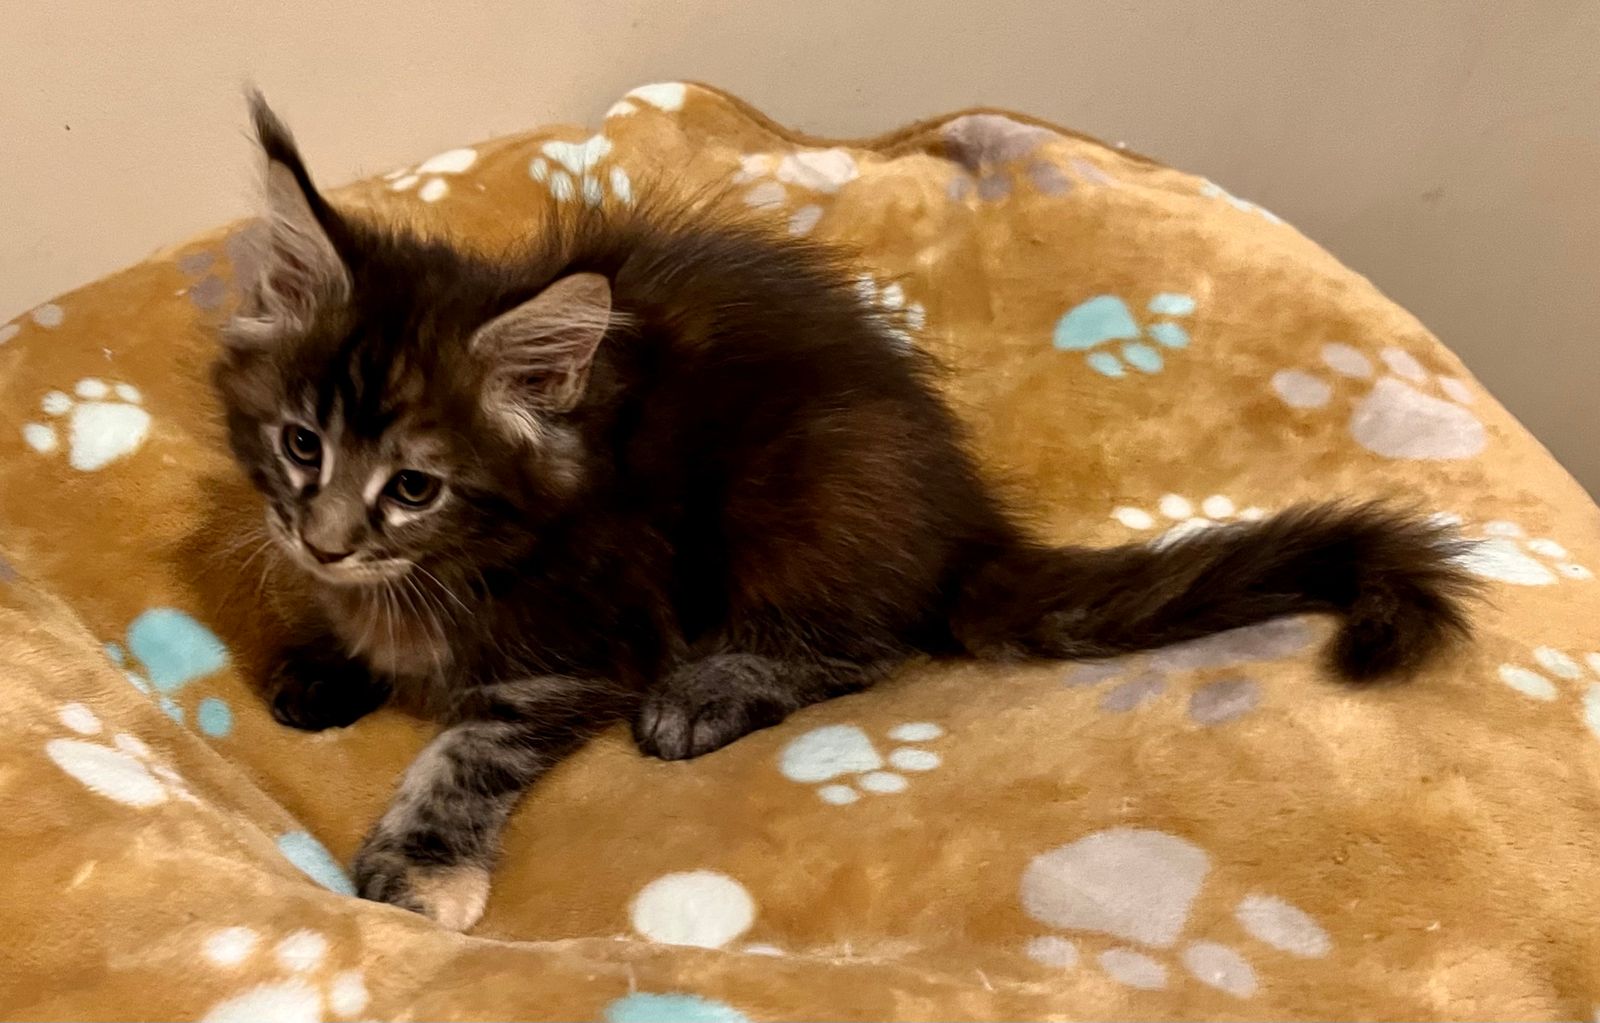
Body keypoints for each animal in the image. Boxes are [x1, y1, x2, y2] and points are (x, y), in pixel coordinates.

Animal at [212, 93, 1475, 931]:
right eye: (300, 445)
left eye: (413, 487)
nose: (321, 540)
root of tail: (958, 517)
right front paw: (329, 654)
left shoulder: (581, 641)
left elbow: (468, 746)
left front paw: (421, 866)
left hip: (796, 495)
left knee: (864, 644)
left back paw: (711, 691)